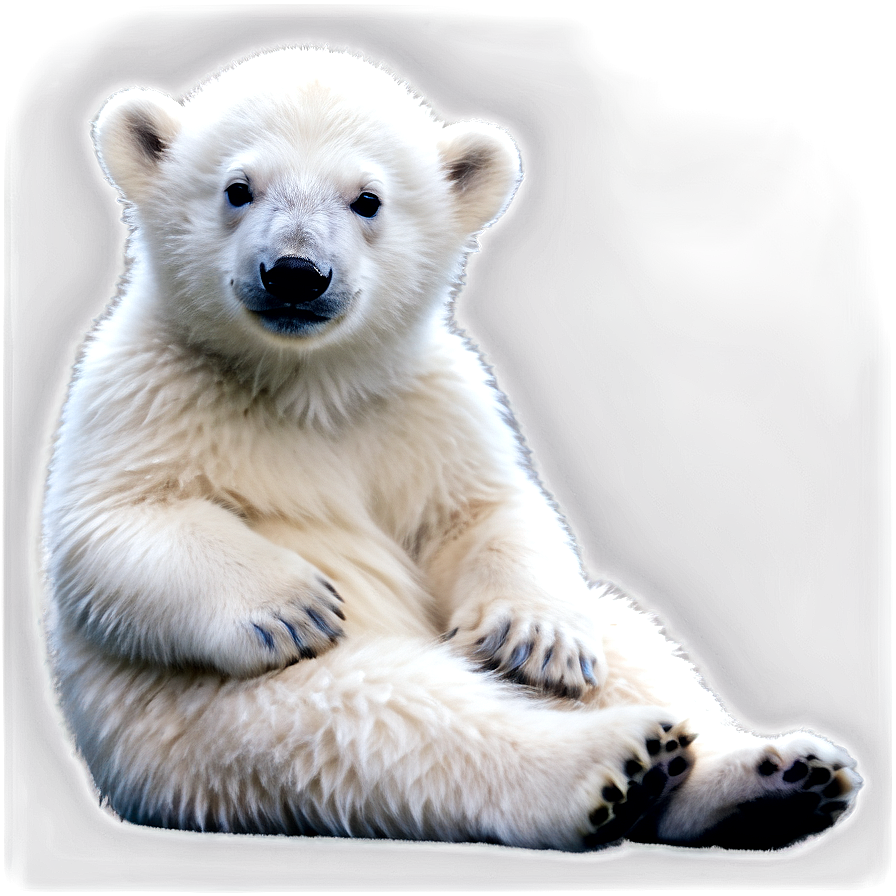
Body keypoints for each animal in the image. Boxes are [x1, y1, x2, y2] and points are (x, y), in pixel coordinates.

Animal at [39, 45, 861, 851]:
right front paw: (291, 606)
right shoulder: (149, 386)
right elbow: (113, 524)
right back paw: (615, 764)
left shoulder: (430, 403)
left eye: (367, 200)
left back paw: (770, 778)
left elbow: (482, 512)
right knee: (384, 714)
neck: (309, 383)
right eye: (238, 188)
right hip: (211, 727)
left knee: (629, 640)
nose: (296, 274)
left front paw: (535, 639)